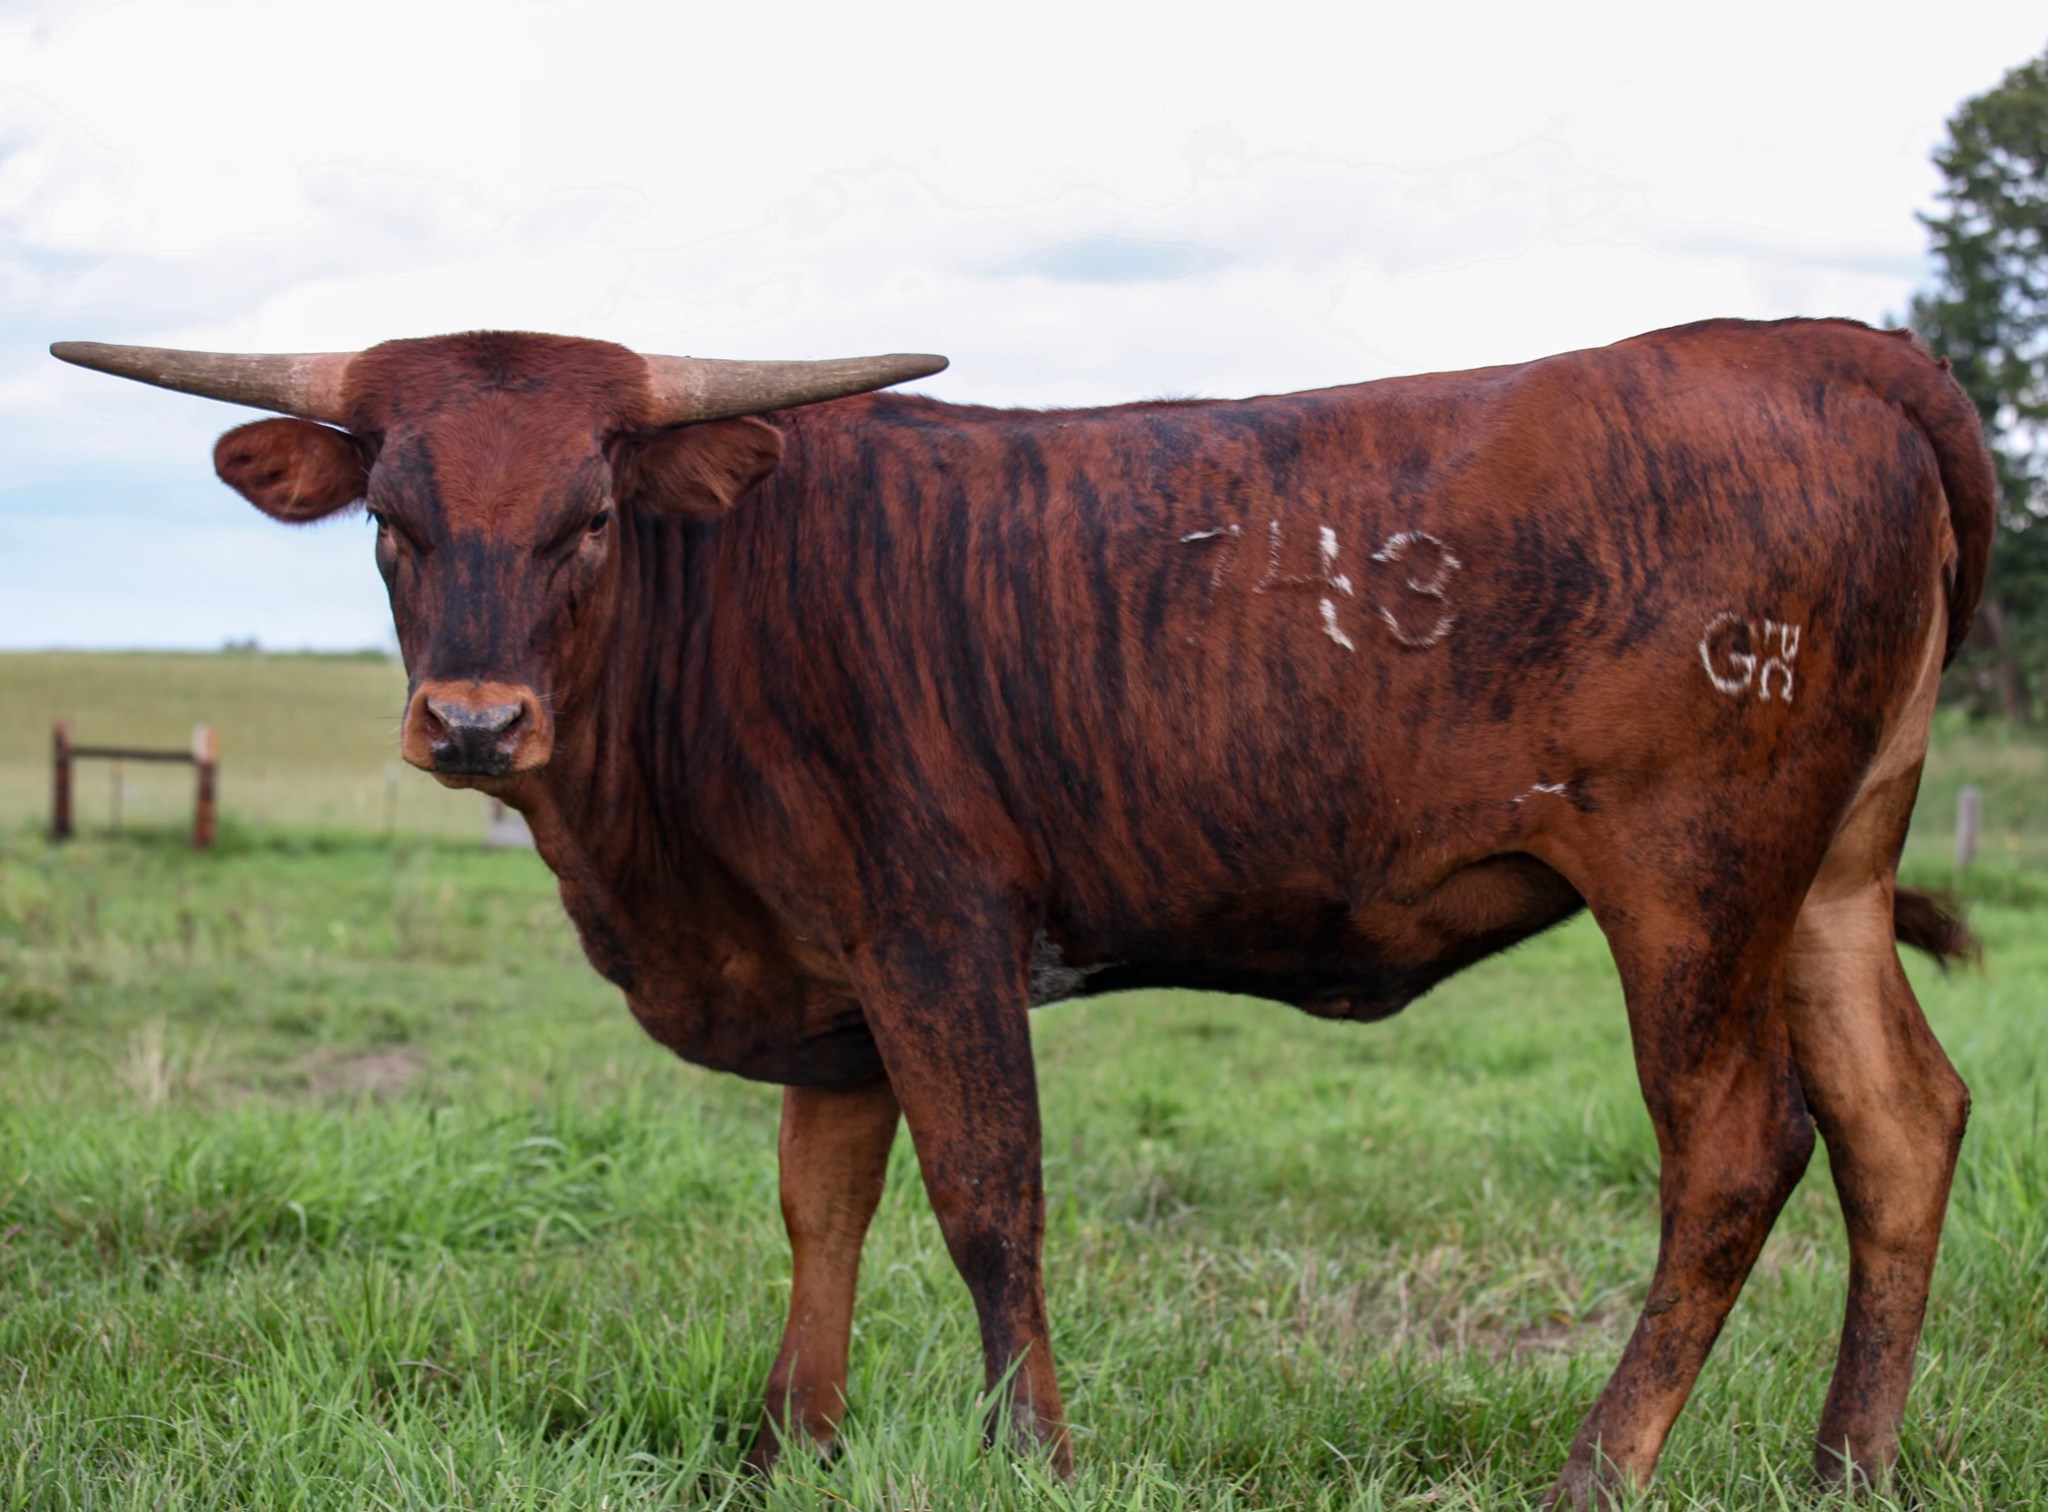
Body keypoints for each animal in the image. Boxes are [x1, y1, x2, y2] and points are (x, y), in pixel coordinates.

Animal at [52, 317, 1993, 1506]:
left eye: (589, 513)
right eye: (389, 513)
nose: (470, 723)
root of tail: (1814, 345)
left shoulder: (935, 934)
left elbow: (988, 1200)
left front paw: (1032, 1457)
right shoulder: (825, 979)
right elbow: (819, 1207)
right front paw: (790, 1446)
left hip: (1692, 881)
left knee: (1735, 1143)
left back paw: (1597, 1468)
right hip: (1823, 881)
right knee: (1900, 1120)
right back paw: (1843, 1466)